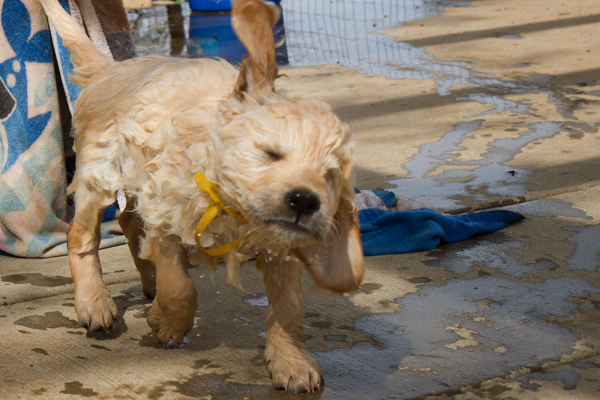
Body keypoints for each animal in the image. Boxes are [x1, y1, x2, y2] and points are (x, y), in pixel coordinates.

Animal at [39, 0, 364, 393]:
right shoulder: (166, 212)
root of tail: (111, 69)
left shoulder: (279, 247)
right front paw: (169, 322)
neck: (233, 209)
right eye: (270, 154)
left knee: (129, 222)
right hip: (98, 172)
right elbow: (180, 287)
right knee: (82, 234)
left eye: (329, 175)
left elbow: (288, 307)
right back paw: (94, 301)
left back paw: (148, 282)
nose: (304, 200)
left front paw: (292, 361)